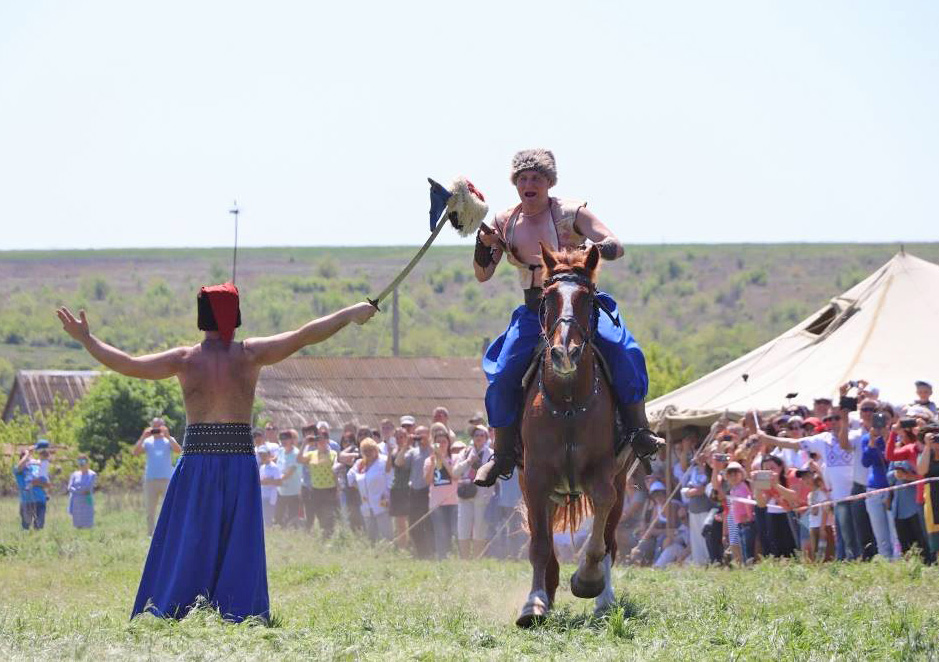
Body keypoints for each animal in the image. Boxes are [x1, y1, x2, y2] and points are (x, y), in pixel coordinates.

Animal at [516, 244, 640, 628]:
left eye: (587, 299)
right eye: (548, 298)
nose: (564, 353)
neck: (568, 401)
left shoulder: (605, 474)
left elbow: (600, 531)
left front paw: (587, 580)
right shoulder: (535, 479)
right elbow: (540, 544)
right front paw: (535, 603)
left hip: (620, 484)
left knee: (610, 538)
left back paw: (604, 599)